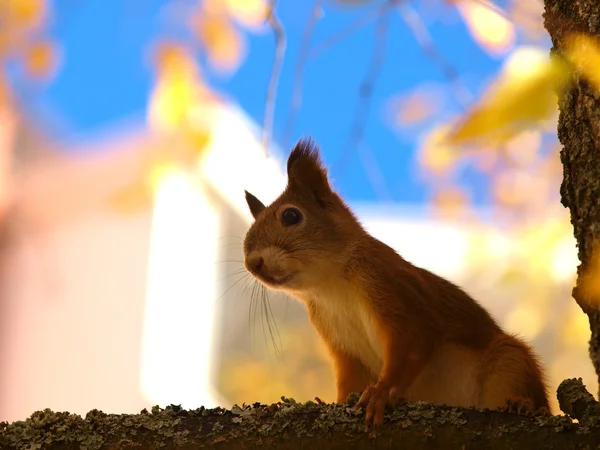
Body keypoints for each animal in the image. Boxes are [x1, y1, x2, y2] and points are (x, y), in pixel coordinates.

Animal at [241, 137, 552, 428]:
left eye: (291, 216)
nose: (252, 263)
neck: (330, 287)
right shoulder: (343, 344)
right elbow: (350, 381)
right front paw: (337, 403)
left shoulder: (394, 290)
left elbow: (411, 344)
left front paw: (380, 393)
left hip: (509, 361)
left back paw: (524, 404)